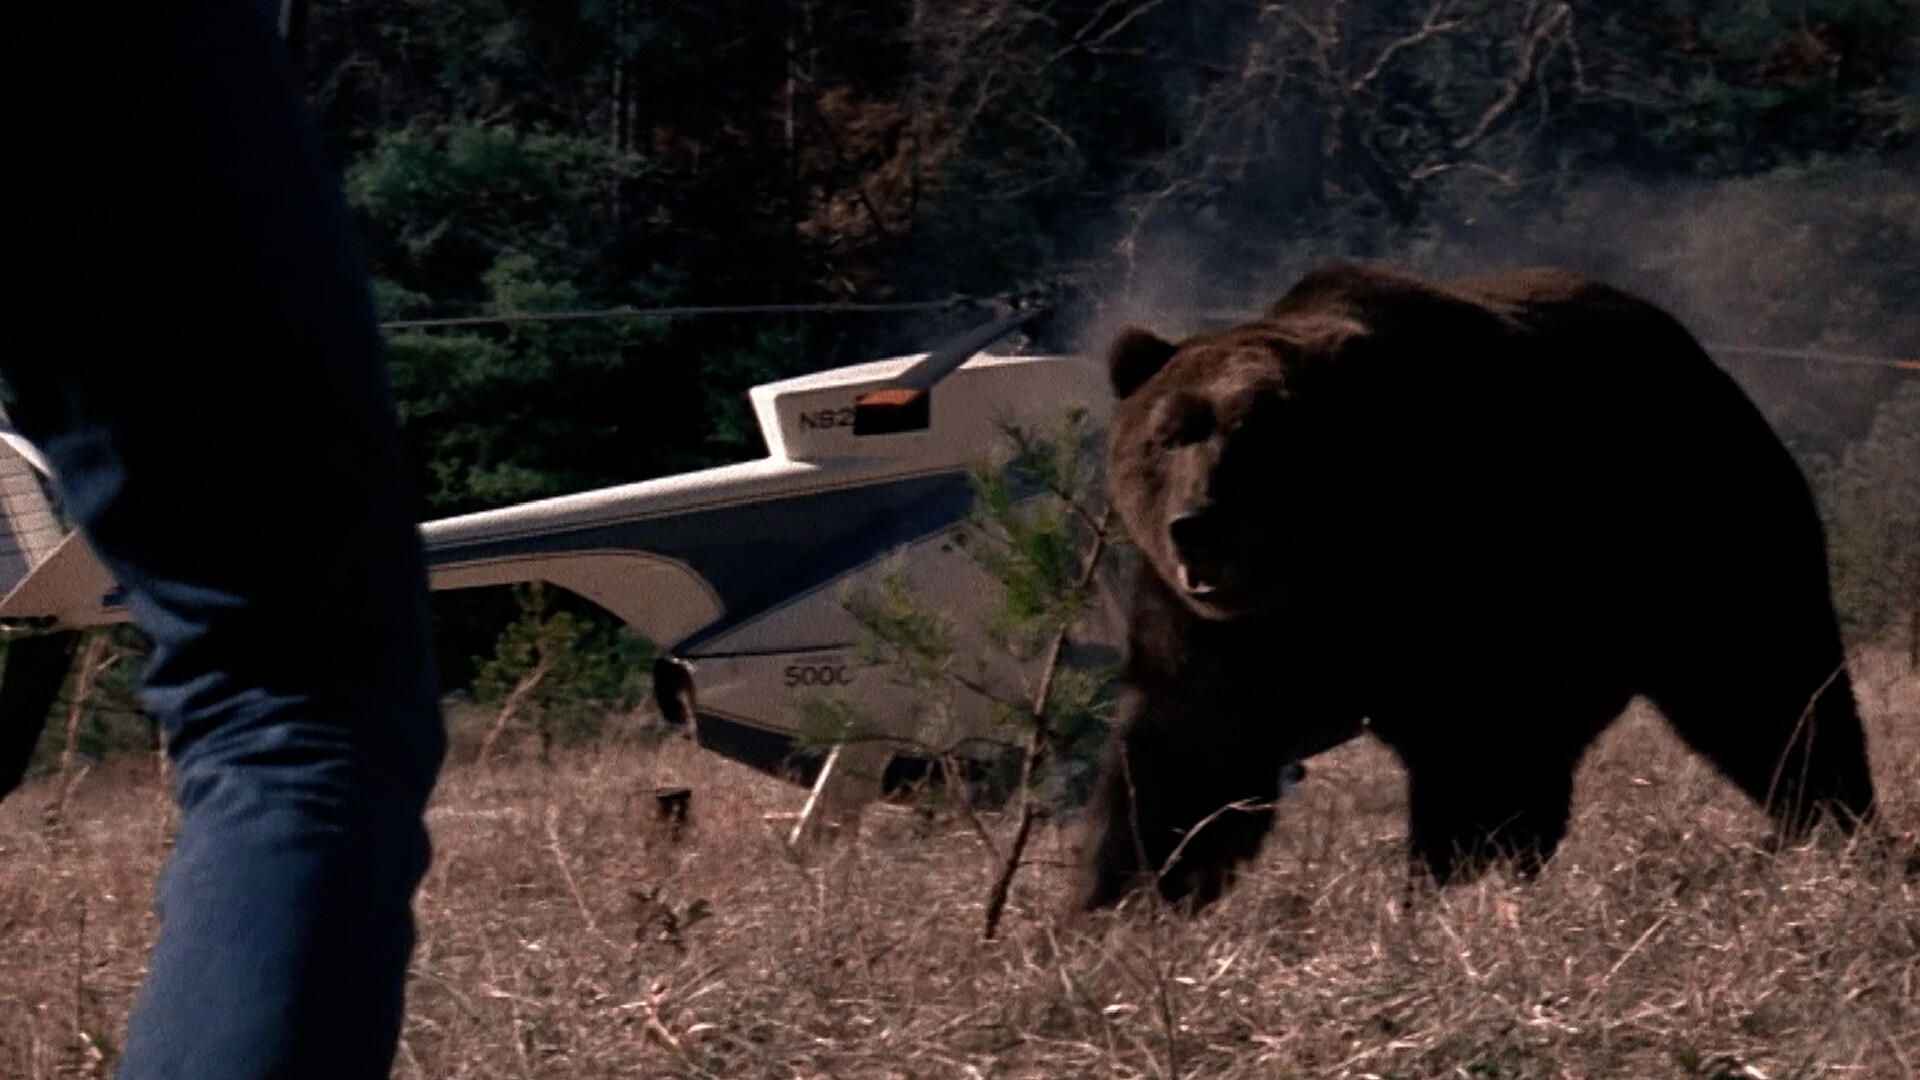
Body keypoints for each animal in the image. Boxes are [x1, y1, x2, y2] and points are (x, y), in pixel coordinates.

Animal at [1079, 261, 1877, 911]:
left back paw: (1837, 827)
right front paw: (1123, 902)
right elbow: (1186, 754)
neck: (1330, 566)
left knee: (1769, 691)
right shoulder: (1220, 632)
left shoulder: (1475, 572)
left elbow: (1475, 752)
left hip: (1701, 528)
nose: (1195, 524)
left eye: (1259, 439)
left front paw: (1445, 885)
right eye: (1166, 438)